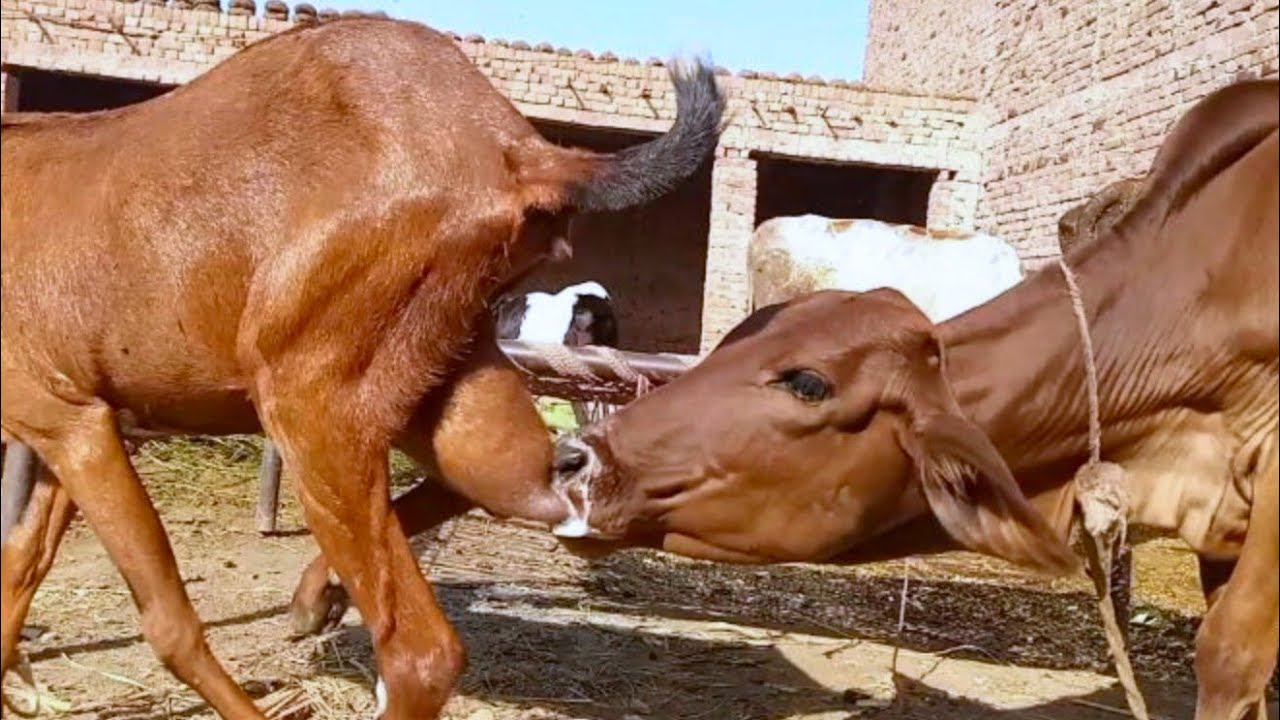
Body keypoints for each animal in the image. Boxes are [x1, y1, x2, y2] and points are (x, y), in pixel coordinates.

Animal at [1, 16, 724, 719]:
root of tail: (516, 150)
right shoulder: (80, 426)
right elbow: (20, 567)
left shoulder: (70, 423)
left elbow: (167, 620)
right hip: (450, 387)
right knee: (553, 484)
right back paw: (316, 593)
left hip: (308, 399)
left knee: (421, 654)